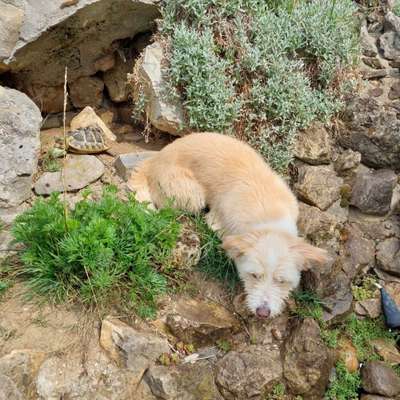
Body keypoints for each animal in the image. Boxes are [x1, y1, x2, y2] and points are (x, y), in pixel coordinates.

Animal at [129, 133, 328, 318]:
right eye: (254, 275)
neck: (269, 218)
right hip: (191, 195)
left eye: (281, 281)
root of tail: (155, 159)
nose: (263, 313)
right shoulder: (218, 223)